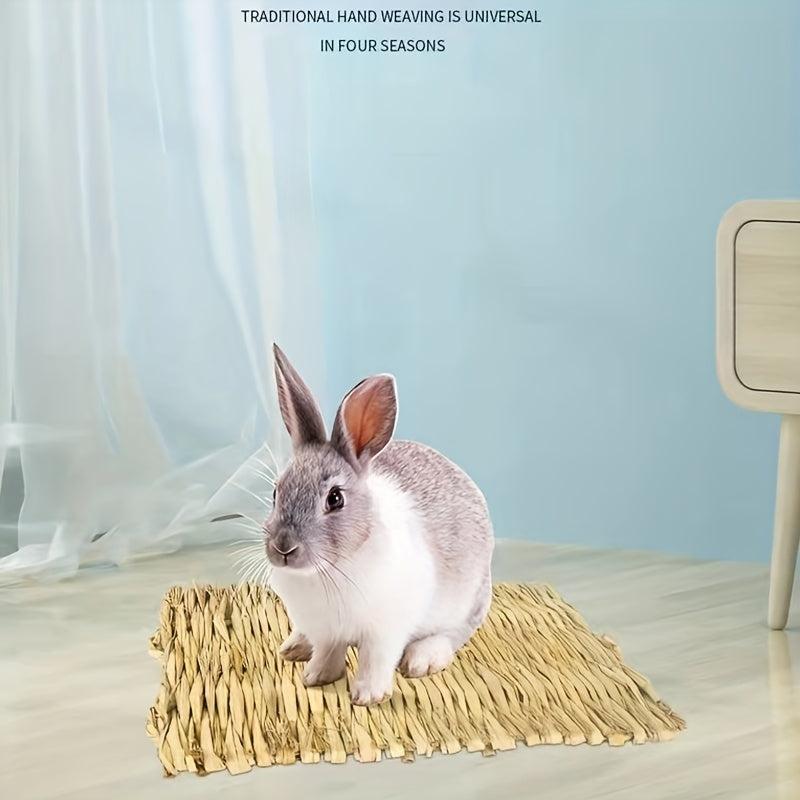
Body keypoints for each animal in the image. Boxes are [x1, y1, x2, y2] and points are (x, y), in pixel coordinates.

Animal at [263, 344, 494, 706]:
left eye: (335, 499)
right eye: (275, 492)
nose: (283, 547)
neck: (330, 569)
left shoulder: (386, 629)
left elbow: (376, 658)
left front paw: (367, 696)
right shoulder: (327, 630)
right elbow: (328, 652)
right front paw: (316, 677)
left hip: (468, 601)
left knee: (455, 633)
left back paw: (422, 659)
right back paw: (295, 647)